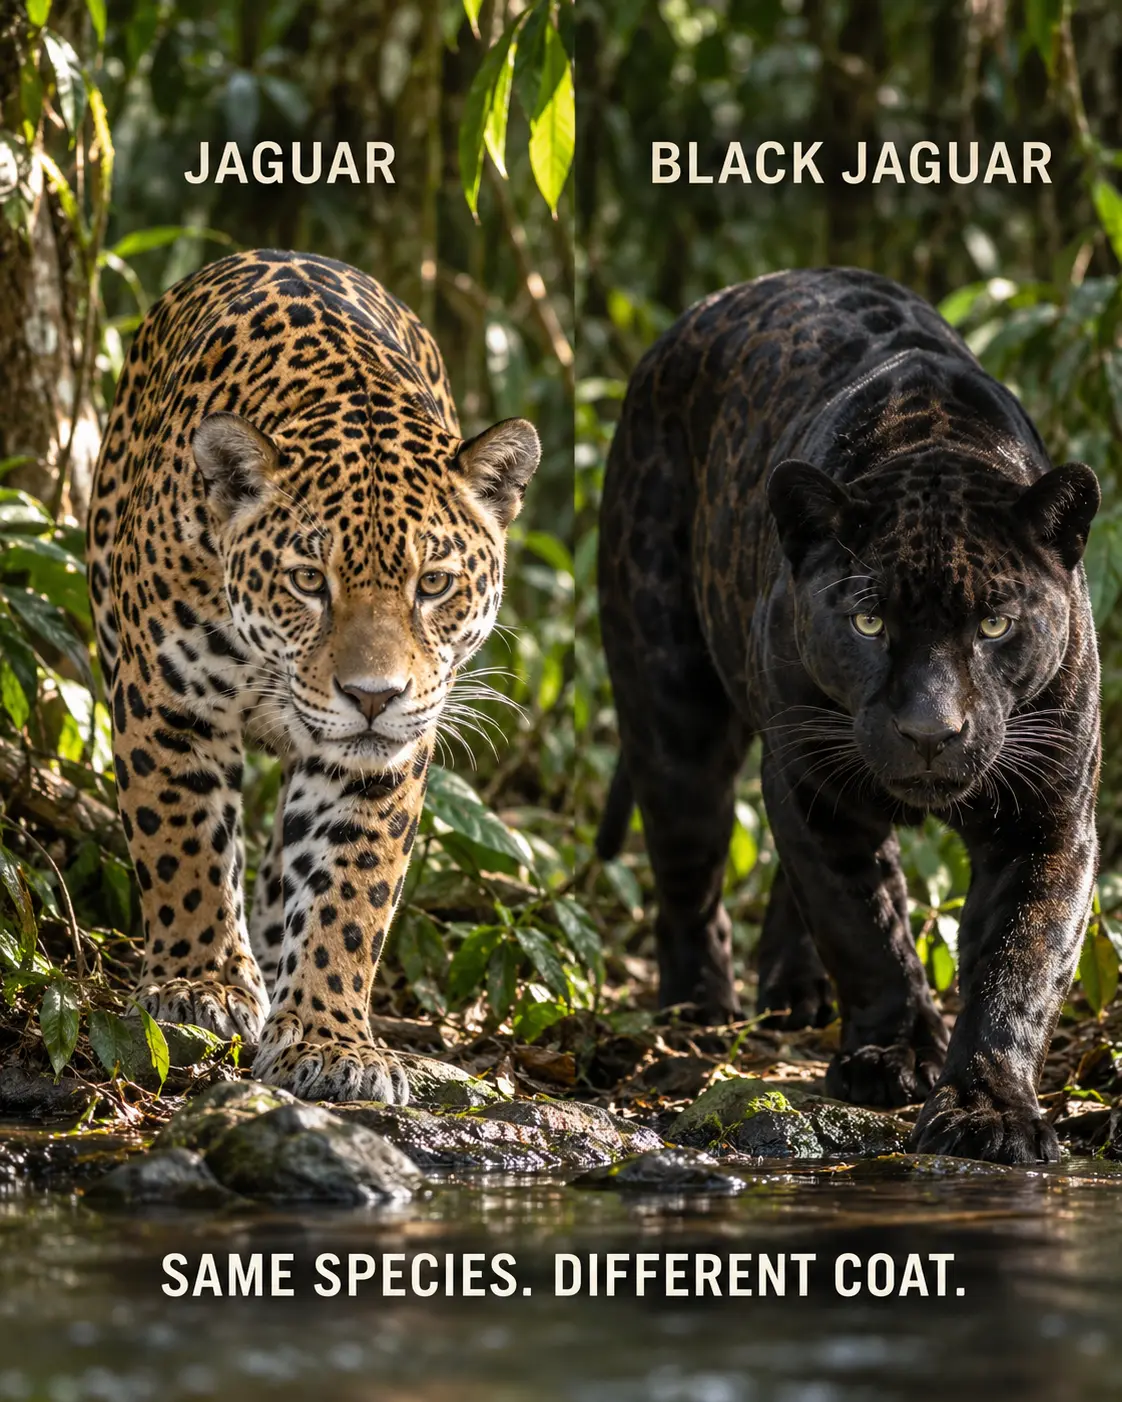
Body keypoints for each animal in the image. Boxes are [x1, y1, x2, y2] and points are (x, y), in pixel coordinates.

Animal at [87, 248, 540, 1102]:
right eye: (307, 580)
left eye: (433, 584)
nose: (372, 697)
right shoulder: (166, 700)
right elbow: (182, 843)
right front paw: (200, 985)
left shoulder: (385, 759)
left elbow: (351, 891)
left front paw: (332, 1040)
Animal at [597, 266, 1101, 1164]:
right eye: (869, 622)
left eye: (994, 625)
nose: (931, 732)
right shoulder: (813, 784)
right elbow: (862, 925)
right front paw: (889, 1056)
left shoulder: (1050, 815)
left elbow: (1021, 964)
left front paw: (988, 1110)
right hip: (672, 705)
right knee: (689, 863)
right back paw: (700, 1004)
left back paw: (791, 992)